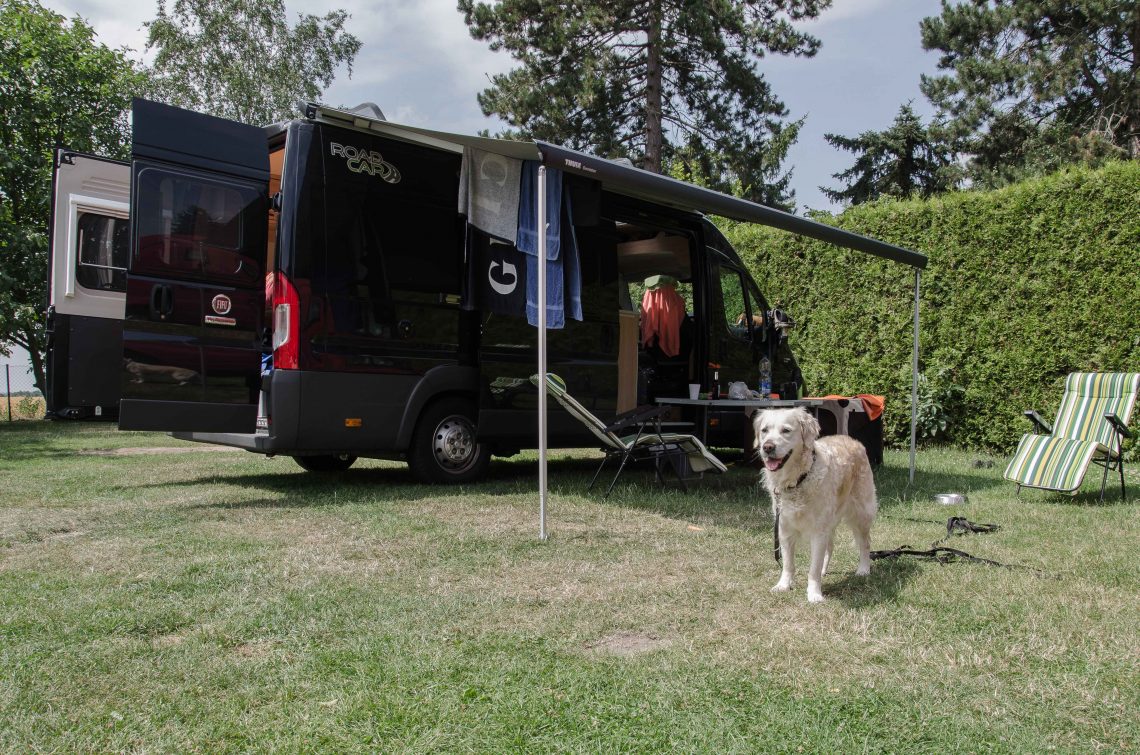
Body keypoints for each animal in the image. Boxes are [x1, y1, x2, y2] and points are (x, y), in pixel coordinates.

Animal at [752, 408, 875, 602]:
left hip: (860, 513)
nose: (767, 447)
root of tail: (852, 440)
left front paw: (814, 594)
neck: (797, 479)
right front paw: (783, 585)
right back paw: (825, 570)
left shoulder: (818, 531)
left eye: (786, 430)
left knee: (865, 544)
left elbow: (813, 569)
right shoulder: (784, 528)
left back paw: (863, 569)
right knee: (830, 547)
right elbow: (788, 564)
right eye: (764, 430)